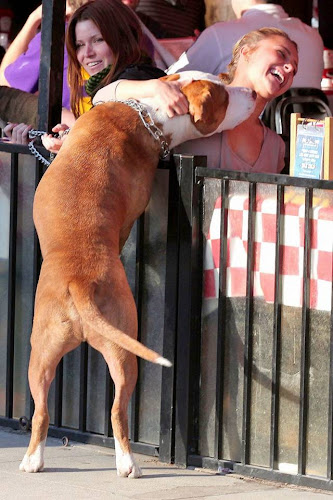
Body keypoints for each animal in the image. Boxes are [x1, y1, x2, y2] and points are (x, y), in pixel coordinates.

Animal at [20, 73, 254, 476]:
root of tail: (80, 283)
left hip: (58, 352)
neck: (149, 114)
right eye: (225, 94)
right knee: (105, 409)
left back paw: (44, 460)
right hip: (98, 348)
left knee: (51, 410)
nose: (252, 92)